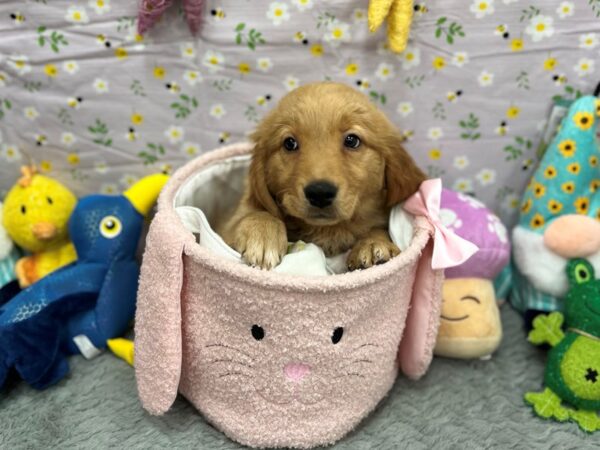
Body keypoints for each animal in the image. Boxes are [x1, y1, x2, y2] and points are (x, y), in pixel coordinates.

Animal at [220, 81, 426, 270]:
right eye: (289, 143)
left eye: (352, 140)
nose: (319, 192)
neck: (328, 231)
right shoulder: (225, 229)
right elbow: (257, 213)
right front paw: (263, 233)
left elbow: (377, 228)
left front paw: (373, 243)